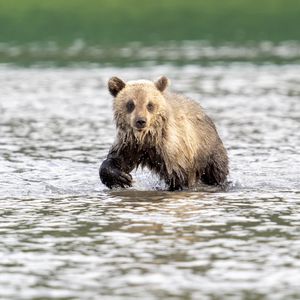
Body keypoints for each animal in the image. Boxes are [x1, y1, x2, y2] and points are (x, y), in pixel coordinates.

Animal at [99, 76, 229, 191]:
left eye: (149, 104)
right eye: (130, 104)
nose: (141, 121)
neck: (146, 137)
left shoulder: (172, 148)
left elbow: (180, 176)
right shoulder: (130, 143)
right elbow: (117, 159)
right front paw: (121, 177)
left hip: (207, 149)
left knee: (216, 171)